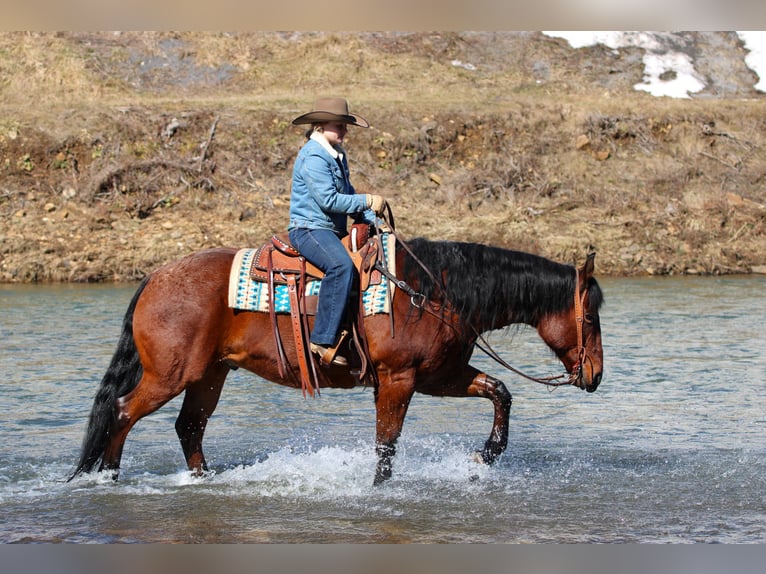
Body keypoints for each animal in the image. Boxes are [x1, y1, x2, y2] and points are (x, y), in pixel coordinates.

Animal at [69, 236, 604, 485]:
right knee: (123, 411)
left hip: (209, 374)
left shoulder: (440, 376)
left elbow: (500, 392)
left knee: (189, 427)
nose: (596, 376)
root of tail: (155, 277)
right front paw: (378, 489)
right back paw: (109, 477)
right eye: (591, 314)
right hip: (171, 374)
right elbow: (386, 445)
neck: (432, 292)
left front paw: (484, 455)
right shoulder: (398, 380)